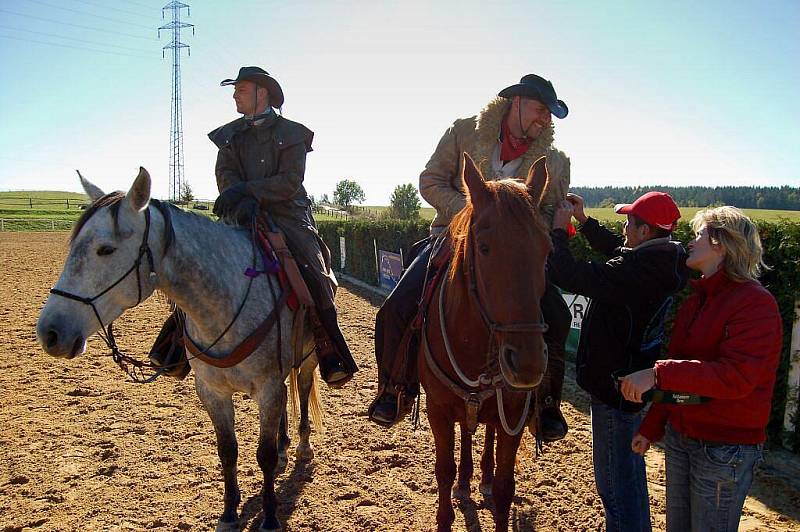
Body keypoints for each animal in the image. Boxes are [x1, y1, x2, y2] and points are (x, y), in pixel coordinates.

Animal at [34, 167, 322, 532]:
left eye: (106, 249)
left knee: (303, 389)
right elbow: (228, 451)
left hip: (308, 359)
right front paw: (229, 513)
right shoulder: (211, 391)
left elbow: (264, 455)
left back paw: (302, 448)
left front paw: (270, 517)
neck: (227, 299)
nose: (50, 332)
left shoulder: (267, 387)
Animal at [422, 154, 552, 532]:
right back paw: (467, 480)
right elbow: (444, 471)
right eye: (483, 247)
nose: (527, 364)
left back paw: (483, 477)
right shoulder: (437, 409)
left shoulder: (514, 413)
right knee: (466, 434)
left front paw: (494, 482)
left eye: (547, 250)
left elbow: (507, 488)